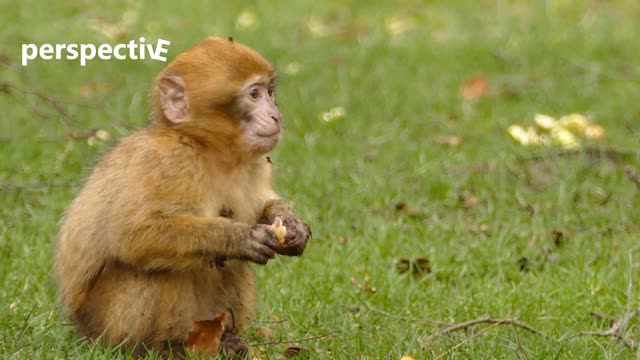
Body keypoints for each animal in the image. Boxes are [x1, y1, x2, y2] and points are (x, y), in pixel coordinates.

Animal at [54, 36, 312, 358]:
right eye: (253, 94)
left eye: (270, 92)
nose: (276, 115)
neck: (206, 148)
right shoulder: (168, 161)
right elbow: (133, 235)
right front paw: (238, 237)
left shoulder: (255, 164)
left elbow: (263, 204)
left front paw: (290, 223)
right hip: (102, 324)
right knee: (154, 269)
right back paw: (162, 348)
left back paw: (223, 340)